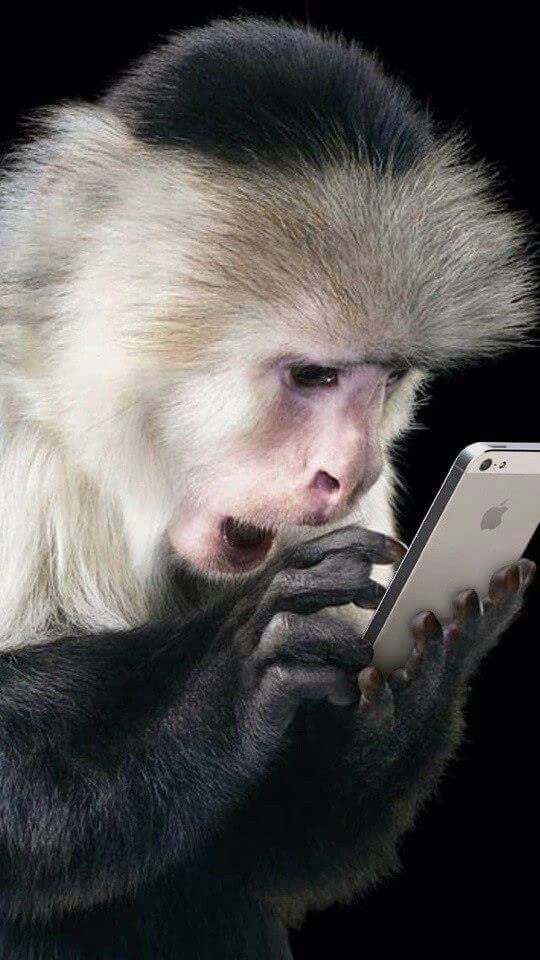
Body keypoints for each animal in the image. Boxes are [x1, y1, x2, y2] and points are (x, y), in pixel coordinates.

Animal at [0, 14, 536, 960]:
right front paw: (230, 685)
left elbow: (265, 846)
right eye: (313, 376)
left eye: (387, 378)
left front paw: (425, 666)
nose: (350, 470)